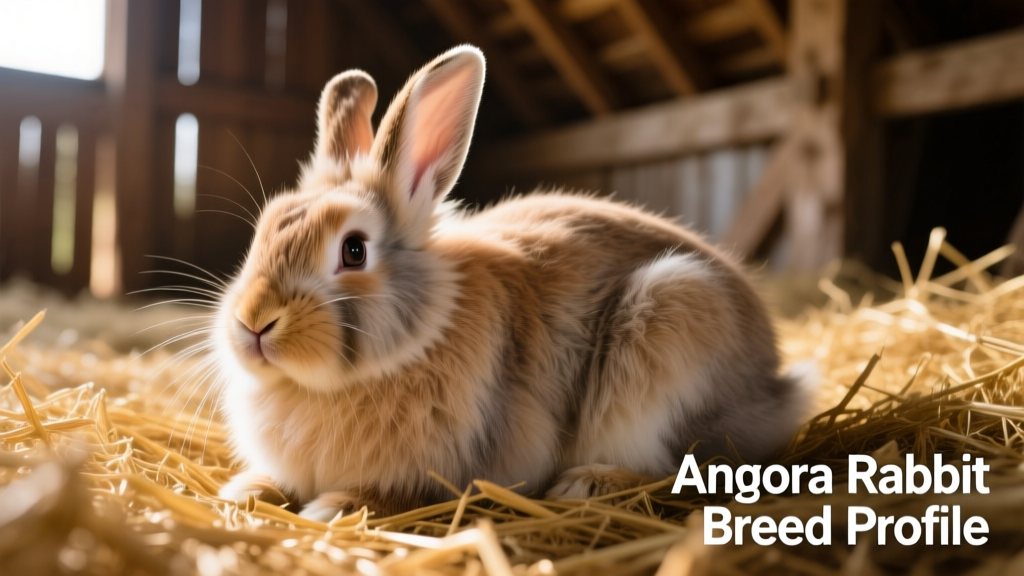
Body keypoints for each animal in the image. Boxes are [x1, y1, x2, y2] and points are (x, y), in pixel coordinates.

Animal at [213, 45, 809, 522]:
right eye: (263, 230)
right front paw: (243, 493)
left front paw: (335, 506)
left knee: (680, 468)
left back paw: (588, 484)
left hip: (672, 320)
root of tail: (776, 389)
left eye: (353, 250)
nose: (254, 322)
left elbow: (404, 494)